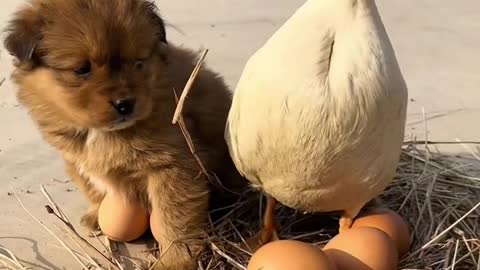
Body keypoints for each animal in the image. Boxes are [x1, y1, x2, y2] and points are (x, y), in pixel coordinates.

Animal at [3, 1, 244, 268]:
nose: (124, 104)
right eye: (81, 69)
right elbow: (91, 186)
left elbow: (174, 219)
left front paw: (174, 259)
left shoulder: (175, 166)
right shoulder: (74, 158)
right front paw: (97, 213)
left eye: (137, 62)